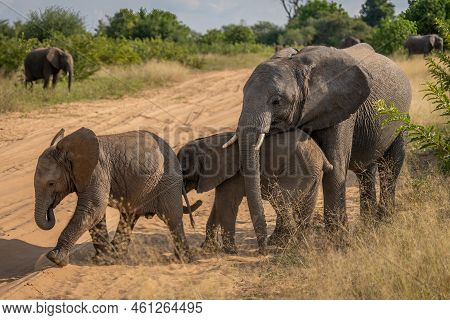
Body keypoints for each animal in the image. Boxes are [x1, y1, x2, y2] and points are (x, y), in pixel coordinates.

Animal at [34, 128, 196, 268]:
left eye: (51, 183)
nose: (50, 208)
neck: (69, 150)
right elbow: (95, 213)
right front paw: (103, 259)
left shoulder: (97, 172)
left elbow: (93, 208)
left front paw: (55, 259)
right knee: (129, 217)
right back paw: (117, 256)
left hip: (168, 183)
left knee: (172, 218)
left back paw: (181, 260)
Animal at [178, 129, 332, 252]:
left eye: (184, 171)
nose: (199, 201)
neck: (207, 142)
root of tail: (321, 155)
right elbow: (218, 205)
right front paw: (209, 248)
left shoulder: (234, 174)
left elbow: (227, 203)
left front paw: (230, 251)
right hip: (313, 174)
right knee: (305, 206)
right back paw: (300, 244)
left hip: (300, 169)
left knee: (279, 198)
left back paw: (286, 244)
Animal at [221, 43, 412, 252]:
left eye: (276, 101)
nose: (263, 248)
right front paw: (280, 242)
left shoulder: (341, 108)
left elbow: (336, 165)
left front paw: (337, 240)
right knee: (365, 171)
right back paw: (367, 225)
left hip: (400, 118)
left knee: (391, 164)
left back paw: (384, 221)